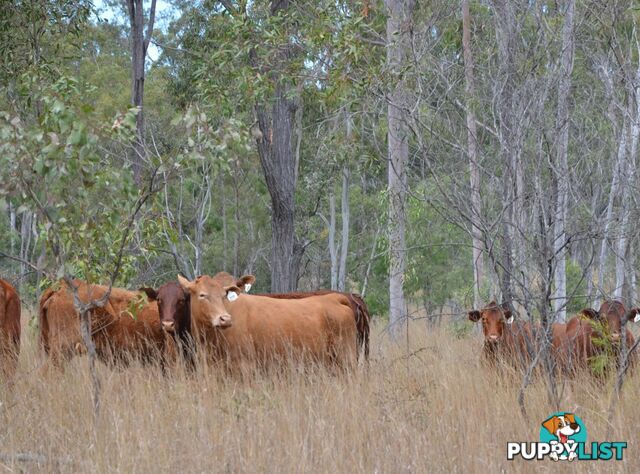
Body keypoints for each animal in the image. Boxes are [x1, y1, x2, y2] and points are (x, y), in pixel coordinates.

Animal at [178, 274, 358, 370]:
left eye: (224, 295)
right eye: (202, 295)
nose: (225, 319)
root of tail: (333, 298)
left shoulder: (245, 366)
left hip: (347, 357)